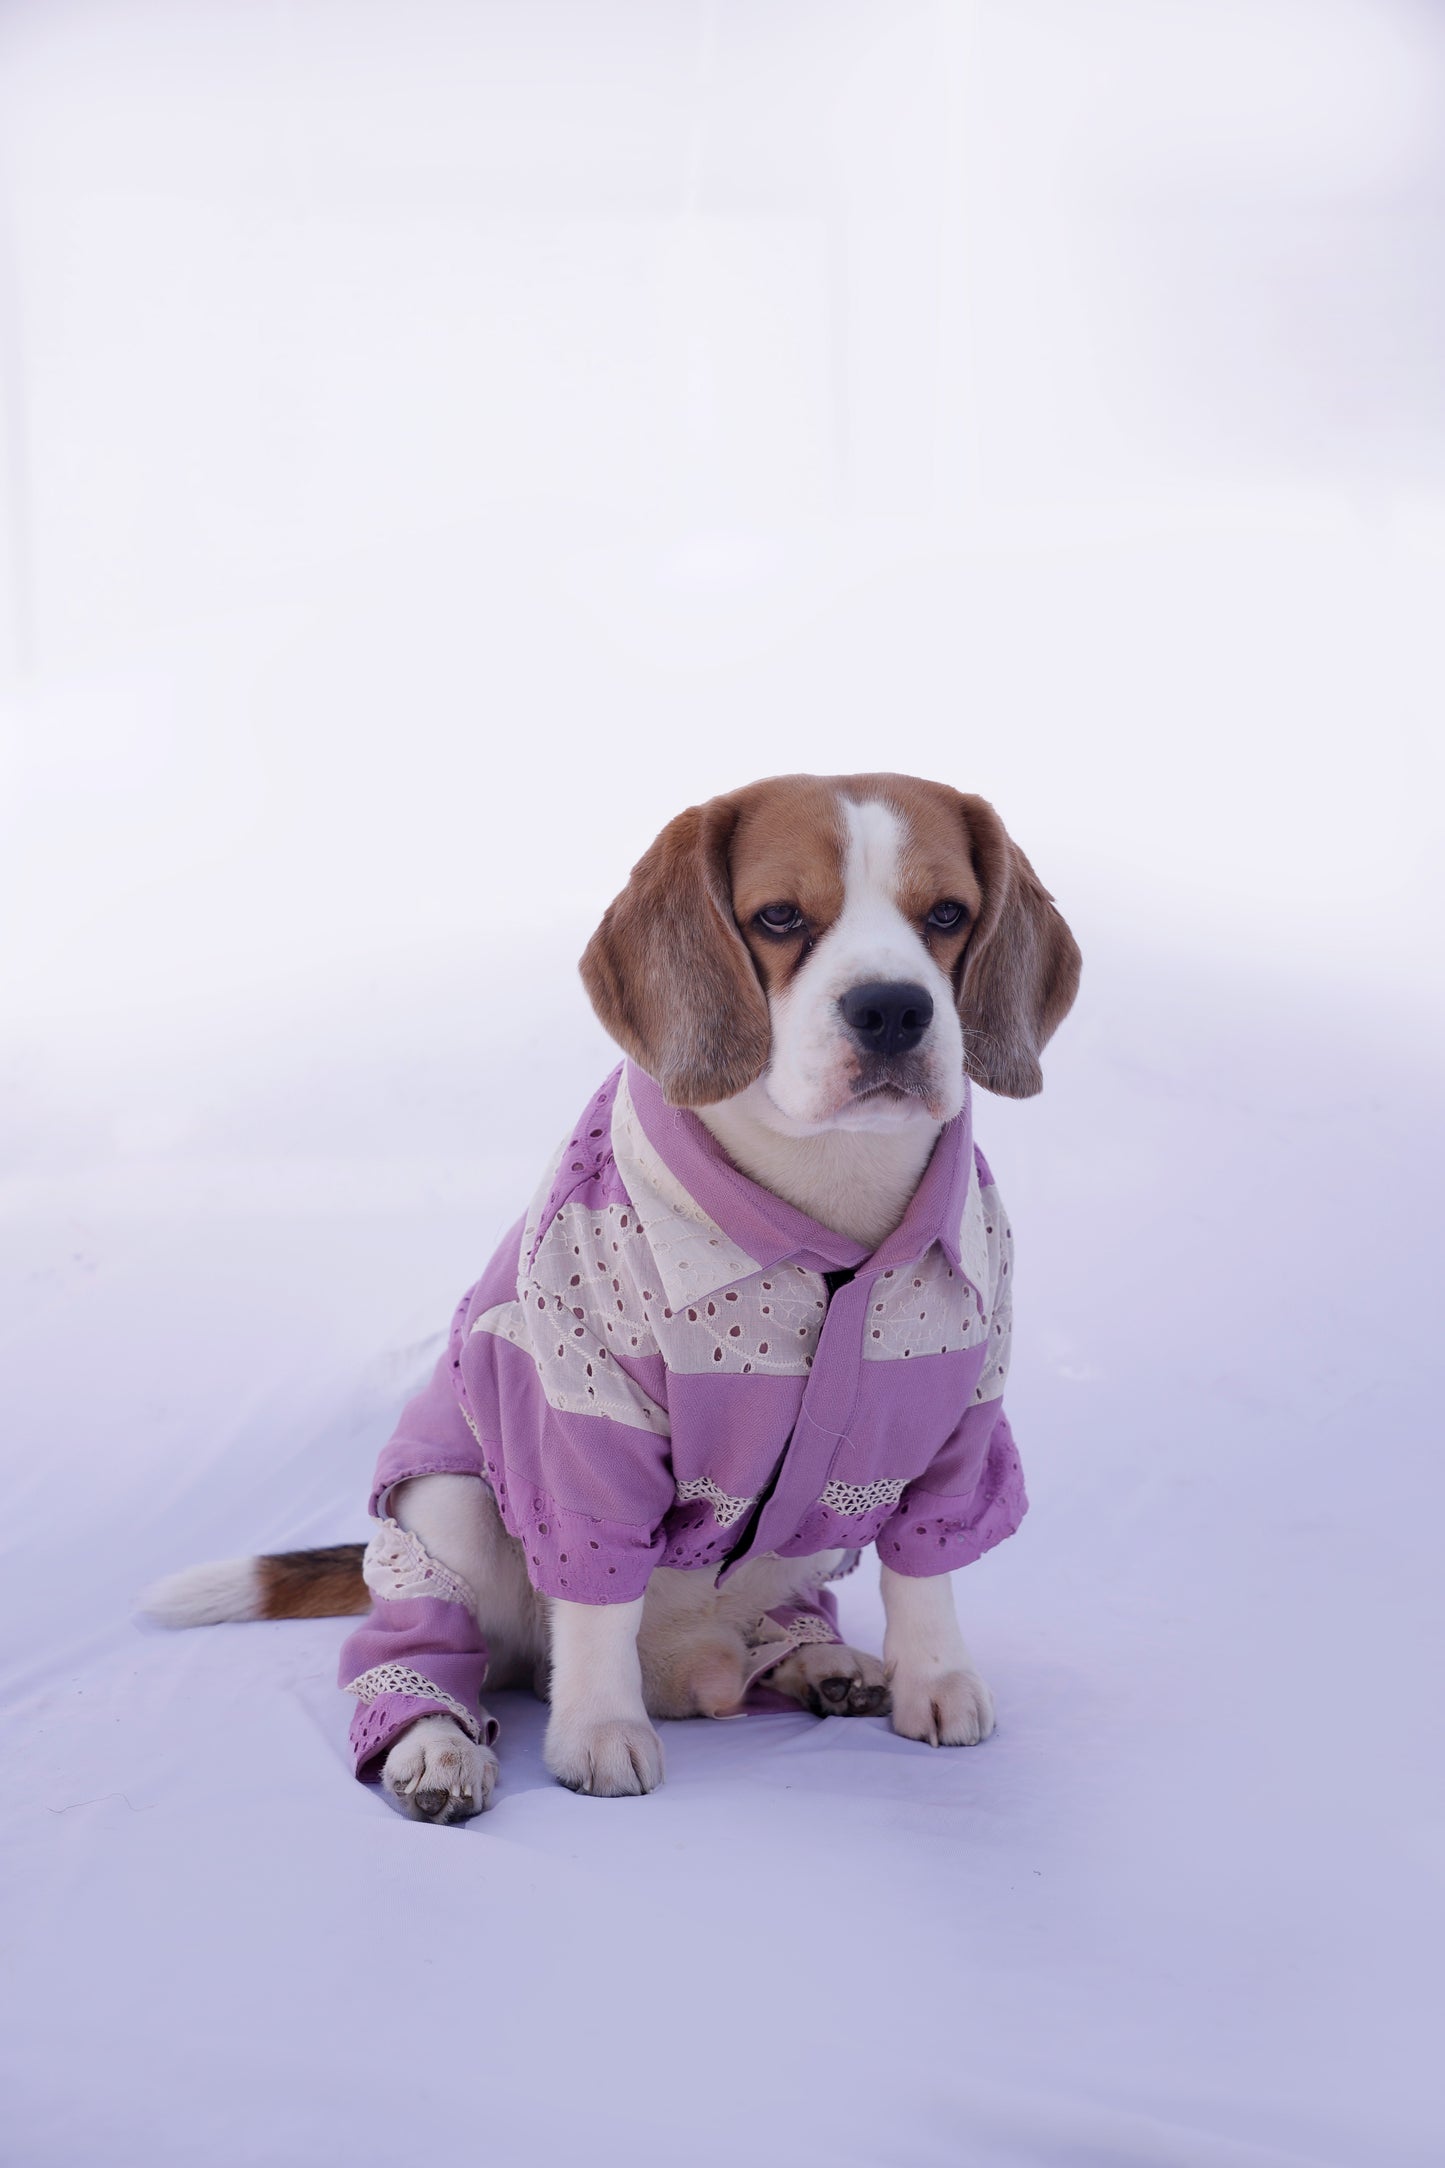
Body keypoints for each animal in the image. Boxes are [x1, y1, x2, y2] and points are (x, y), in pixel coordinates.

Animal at [149, 771, 1074, 1821]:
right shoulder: (581, 1435)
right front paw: (595, 1731)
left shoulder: (960, 1420)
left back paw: (814, 1659)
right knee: (427, 1654)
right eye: (780, 916)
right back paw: (437, 1747)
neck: (825, 1192)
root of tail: (688, 1668)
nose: (890, 1010)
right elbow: (595, 1596)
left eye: (947, 913)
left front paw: (934, 1678)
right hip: (446, 1508)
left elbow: (926, 1569)